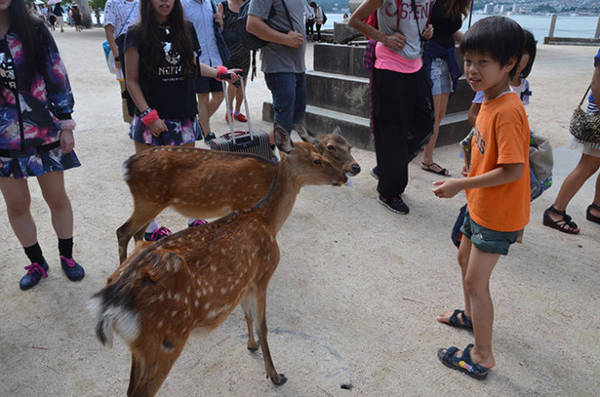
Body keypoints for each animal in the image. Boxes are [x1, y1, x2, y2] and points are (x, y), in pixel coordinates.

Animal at [91, 143, 350, 396]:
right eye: (318, 159)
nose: (344, 176)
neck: (267, 220)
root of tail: (110, 304)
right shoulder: (263, 274)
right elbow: (263, 326)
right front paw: (275, 375)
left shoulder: (245, 280)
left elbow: (247, 315)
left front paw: (251, 345)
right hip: (165, 341)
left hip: (141, 347)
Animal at [117, 127, 360, 262]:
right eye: (323, 155)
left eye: (350, 146)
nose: (350, 172)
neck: (269, 179)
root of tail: (127, 167)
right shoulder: (242, 203)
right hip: (148, 199)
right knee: (123, 231)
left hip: (149, 202)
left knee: (137, 233)